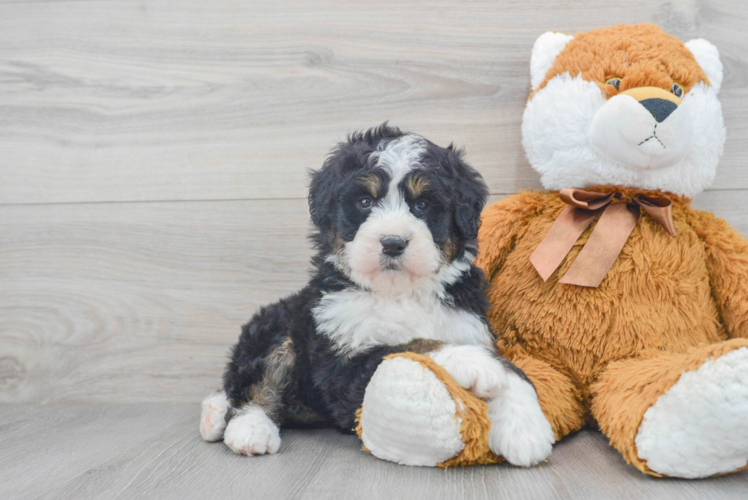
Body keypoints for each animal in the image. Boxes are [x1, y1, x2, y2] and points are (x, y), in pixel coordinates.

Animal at [202, 124, 552, 464]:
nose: (393, 243)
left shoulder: (468, 323)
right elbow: (412, 345)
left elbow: (510, 368)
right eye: (365, 202)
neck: (399, 292)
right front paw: (472, 362)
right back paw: (243, 426)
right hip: (277, 324)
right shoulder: (340, 364)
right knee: (256, 378)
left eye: (422, 205)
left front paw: (525, 428)